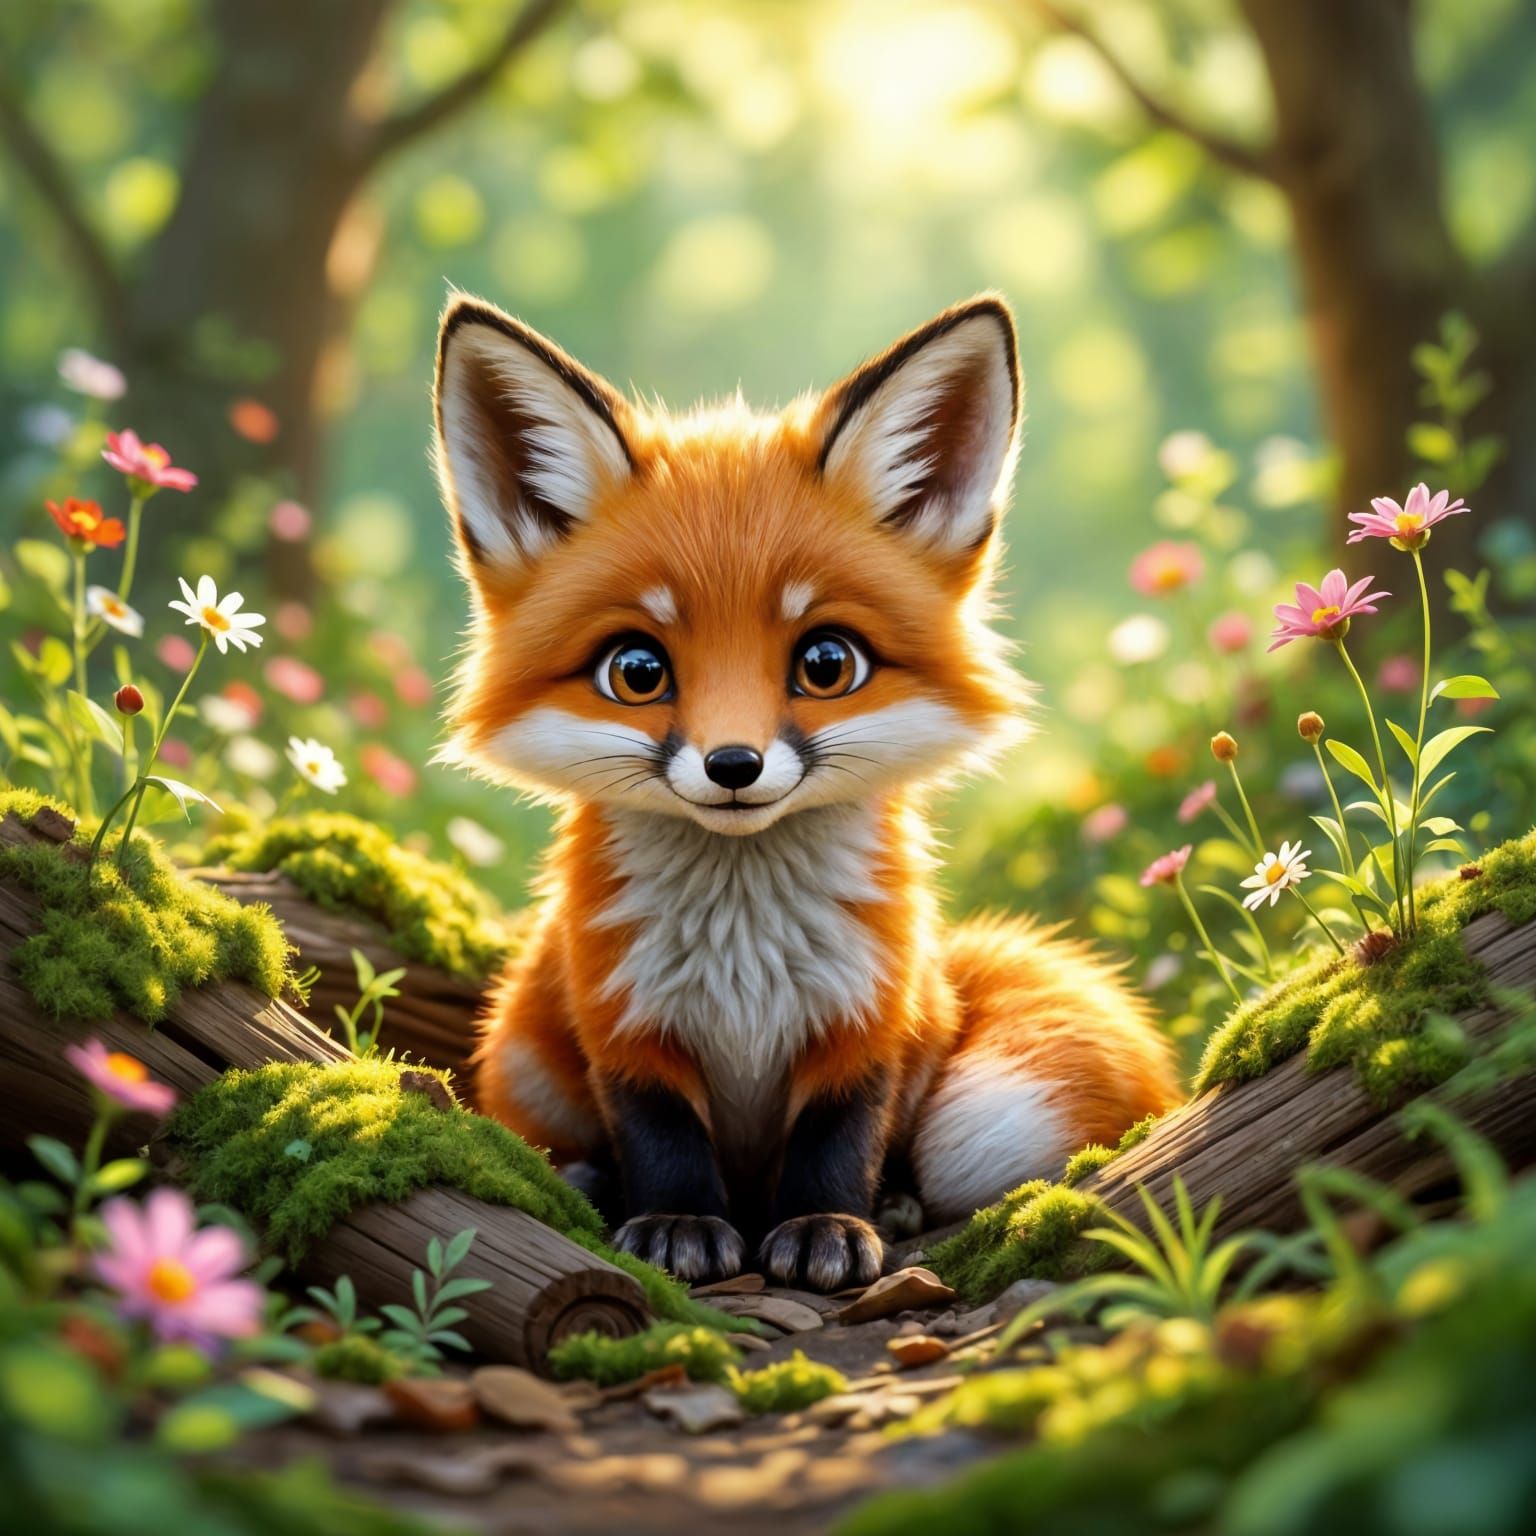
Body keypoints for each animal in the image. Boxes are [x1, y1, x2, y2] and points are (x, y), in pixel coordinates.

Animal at [432, 291, 1179, 1292]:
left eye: (826, 664)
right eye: (637, 671)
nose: (733, 765)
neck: (745, 956)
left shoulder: (867, 1016)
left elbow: (837, 1141)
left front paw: (829, 1226)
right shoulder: (624, 1020)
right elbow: (662, 1139)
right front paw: (676, 1223)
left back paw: (892, 1202)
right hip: (525, 1048)